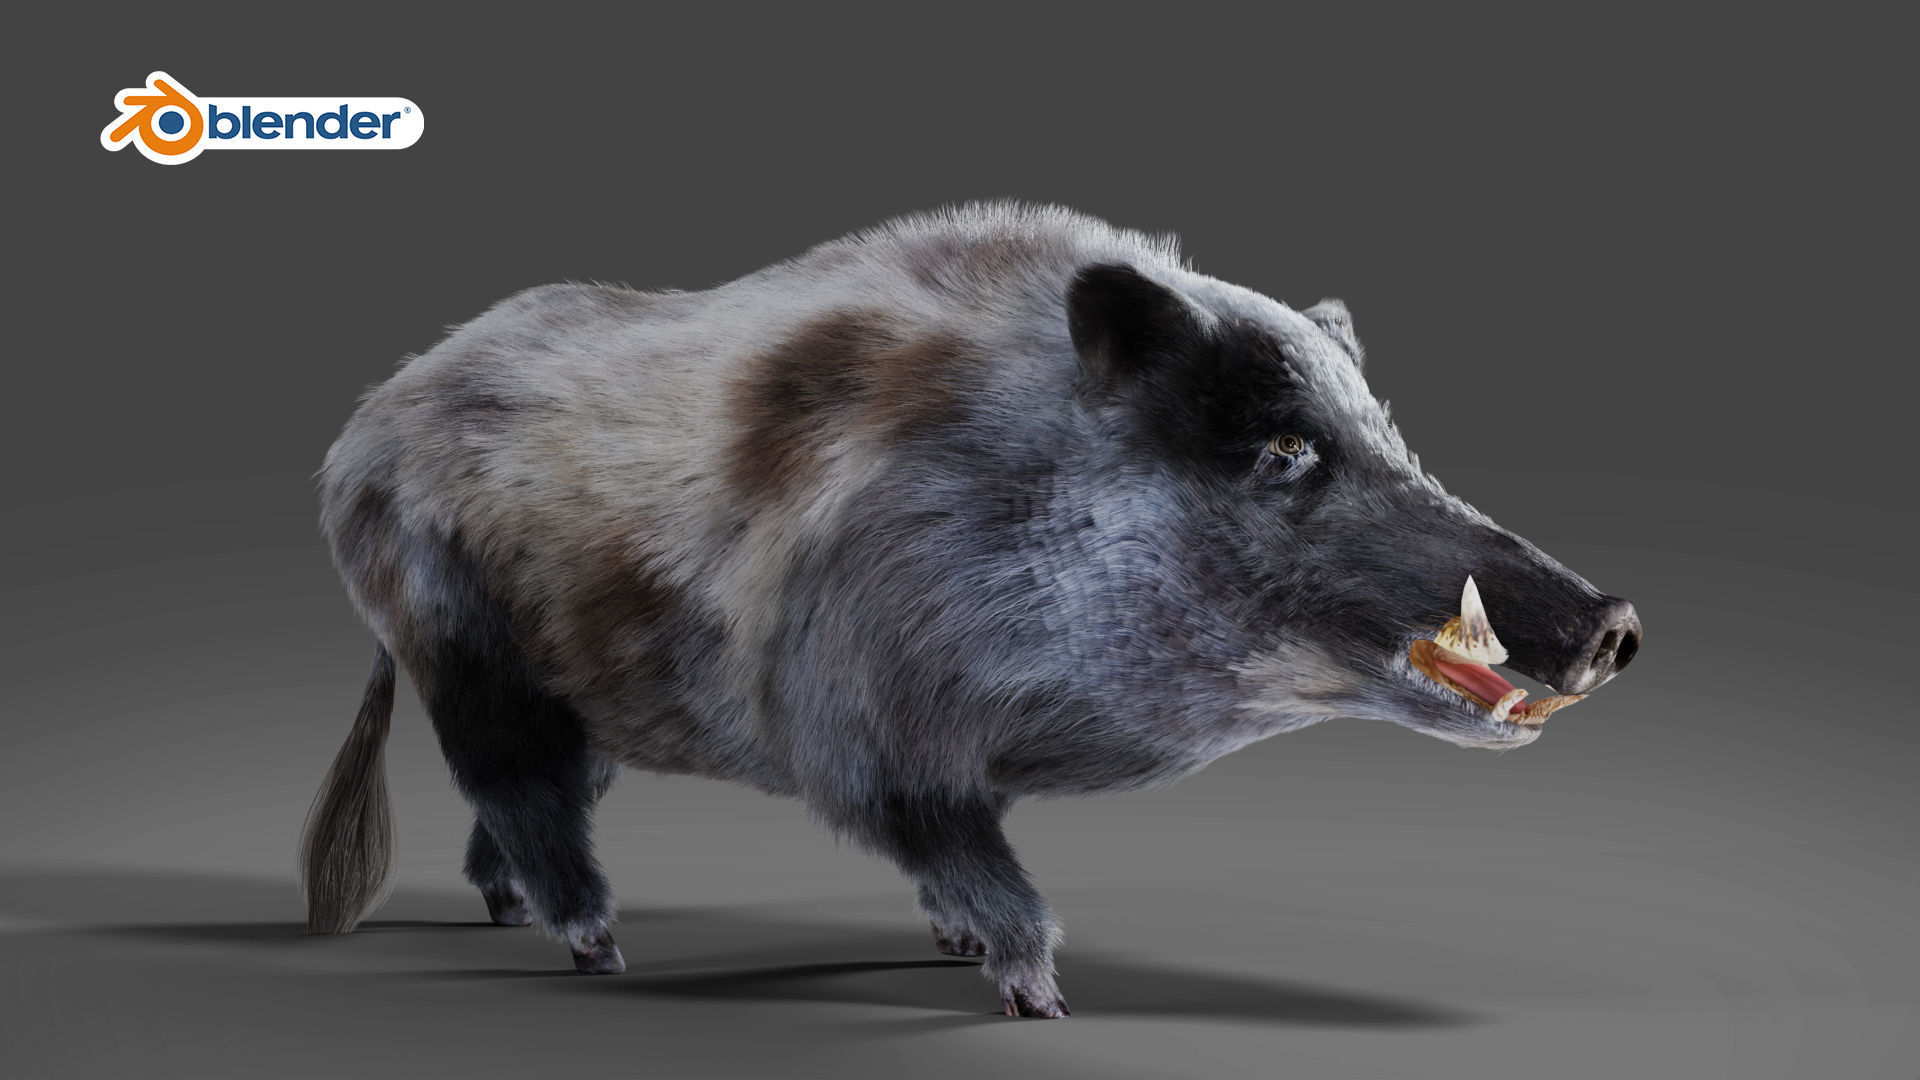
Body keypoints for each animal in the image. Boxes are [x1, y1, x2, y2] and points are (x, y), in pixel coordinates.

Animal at [303, 203, 1641, 1017]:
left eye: (1391, 438)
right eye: (1284, 449)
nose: (1615, 622)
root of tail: (363, 431)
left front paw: (954, 948)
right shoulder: (862, 725)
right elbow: (965, 854)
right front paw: (1039, 999)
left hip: (583, 691)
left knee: (532, 801)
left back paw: (503, 912)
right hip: (459, 642)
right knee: (516, 787)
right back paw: (597, 948)